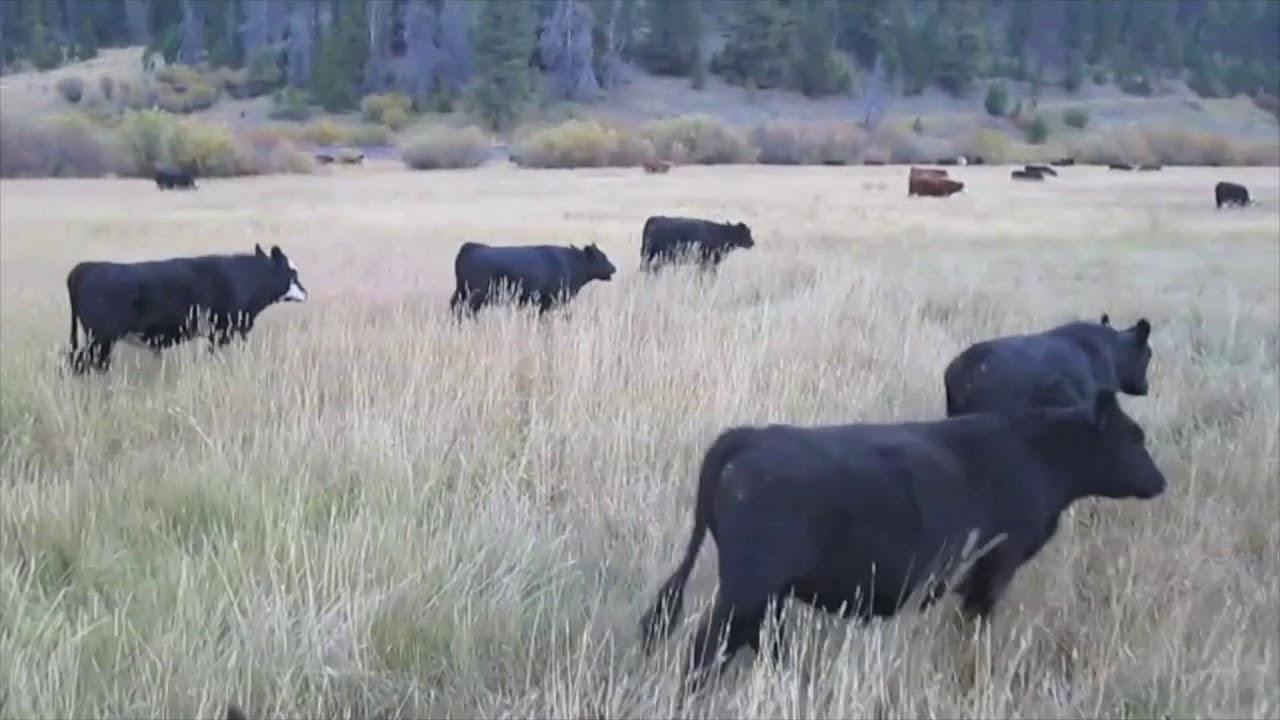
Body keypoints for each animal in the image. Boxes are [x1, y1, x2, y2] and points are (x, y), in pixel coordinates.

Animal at [449, 241, 616, 317]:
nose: (614, 268)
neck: (571, 263)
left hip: (461, 291)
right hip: (475, 295)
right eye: (602, 257)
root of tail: (471, 247)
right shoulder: (549, 302)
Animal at [637, 388, 1166, 696]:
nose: (1160, 481)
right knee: (709, 647)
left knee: (762, 639)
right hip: (747, 585)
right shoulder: (993, 569)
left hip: (766, 590)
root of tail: (751, 435)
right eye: (1134, 437)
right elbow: (972, 627)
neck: (1033, 451)